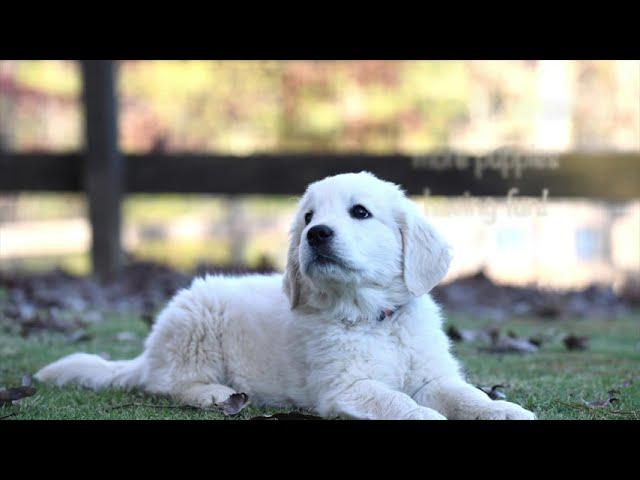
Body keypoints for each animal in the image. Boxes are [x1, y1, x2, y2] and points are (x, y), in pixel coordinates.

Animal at [35, 172, 536, 420]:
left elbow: (467, 396)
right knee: (173, 386)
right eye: (310, 216)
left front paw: (505, 410)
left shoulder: (433, 377)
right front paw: (426, 418)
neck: (373, 317)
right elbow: (396, 402)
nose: (316, 234)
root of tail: (150, 352)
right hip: (194, 327)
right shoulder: (344, 387)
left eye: (360, 212)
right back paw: (219, 394)